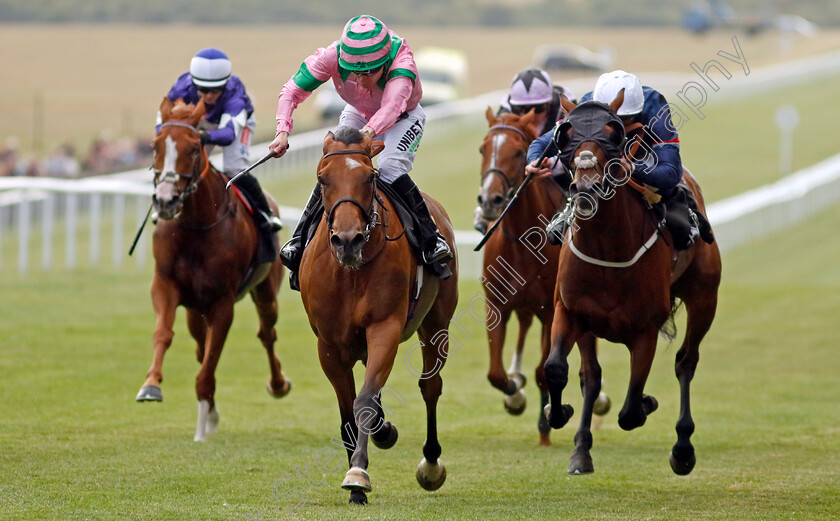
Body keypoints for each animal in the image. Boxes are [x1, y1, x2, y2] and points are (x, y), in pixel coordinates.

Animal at [135, 96, 292, 438]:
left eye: (195, 148)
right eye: (155, 145)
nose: (165, 201)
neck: (196, 227)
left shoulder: (222, 302)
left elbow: (210, 362)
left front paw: (203, 422)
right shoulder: (164, 284)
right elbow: (164, 333)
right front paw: (151, 384)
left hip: (265, 292)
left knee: (267, 332)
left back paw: (277, 384)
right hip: (196, 310)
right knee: (199, 345)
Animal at [300, 127, 460, 504]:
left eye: (369, 178)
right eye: (322, 179)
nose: (347, 240)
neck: (350, 271)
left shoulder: (384, 328)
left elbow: (365, 403)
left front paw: (358, 473)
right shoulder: (328, 345)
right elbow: (349, 413)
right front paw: (358, 478)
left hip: (436, 323)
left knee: (430, 386)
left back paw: (431, 464)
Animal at [476, 107, 608, 444]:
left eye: (518, 151)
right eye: (483, 149)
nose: (490, 201)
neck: (521, 240)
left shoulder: (551, 310)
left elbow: (543, 372)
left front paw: (546, 425)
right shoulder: (496, 306)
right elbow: (495, 373)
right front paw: (513, 392)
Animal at [544, 91, 720, 474]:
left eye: (614, 134)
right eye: (567, 133)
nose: (586, 185)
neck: (608, 249)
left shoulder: (645, 331)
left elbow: (630, 409)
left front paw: (648, 404)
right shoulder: (570, 311)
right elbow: (558, 369)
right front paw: (558, 412)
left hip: (704, 297)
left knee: (686, 361)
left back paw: (683, 450)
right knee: (591, 376)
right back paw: (582, 449)